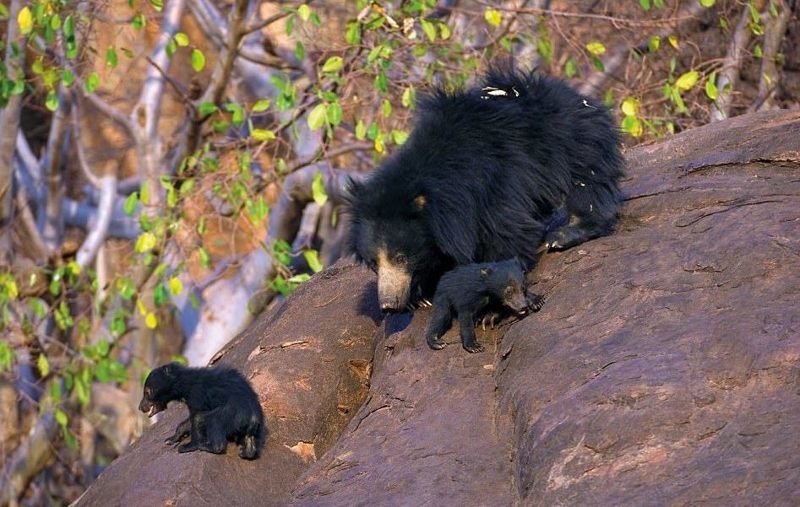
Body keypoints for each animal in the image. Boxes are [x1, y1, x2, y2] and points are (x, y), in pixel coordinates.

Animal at [348, 66, 624, 314]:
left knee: (588, 185)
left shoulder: (493, 184)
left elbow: (507, 230)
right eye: (374, 263)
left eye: (400, 257)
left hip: (573, 143)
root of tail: (575, 95)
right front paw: (421, 295)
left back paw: (564, 234)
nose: (389, 304)